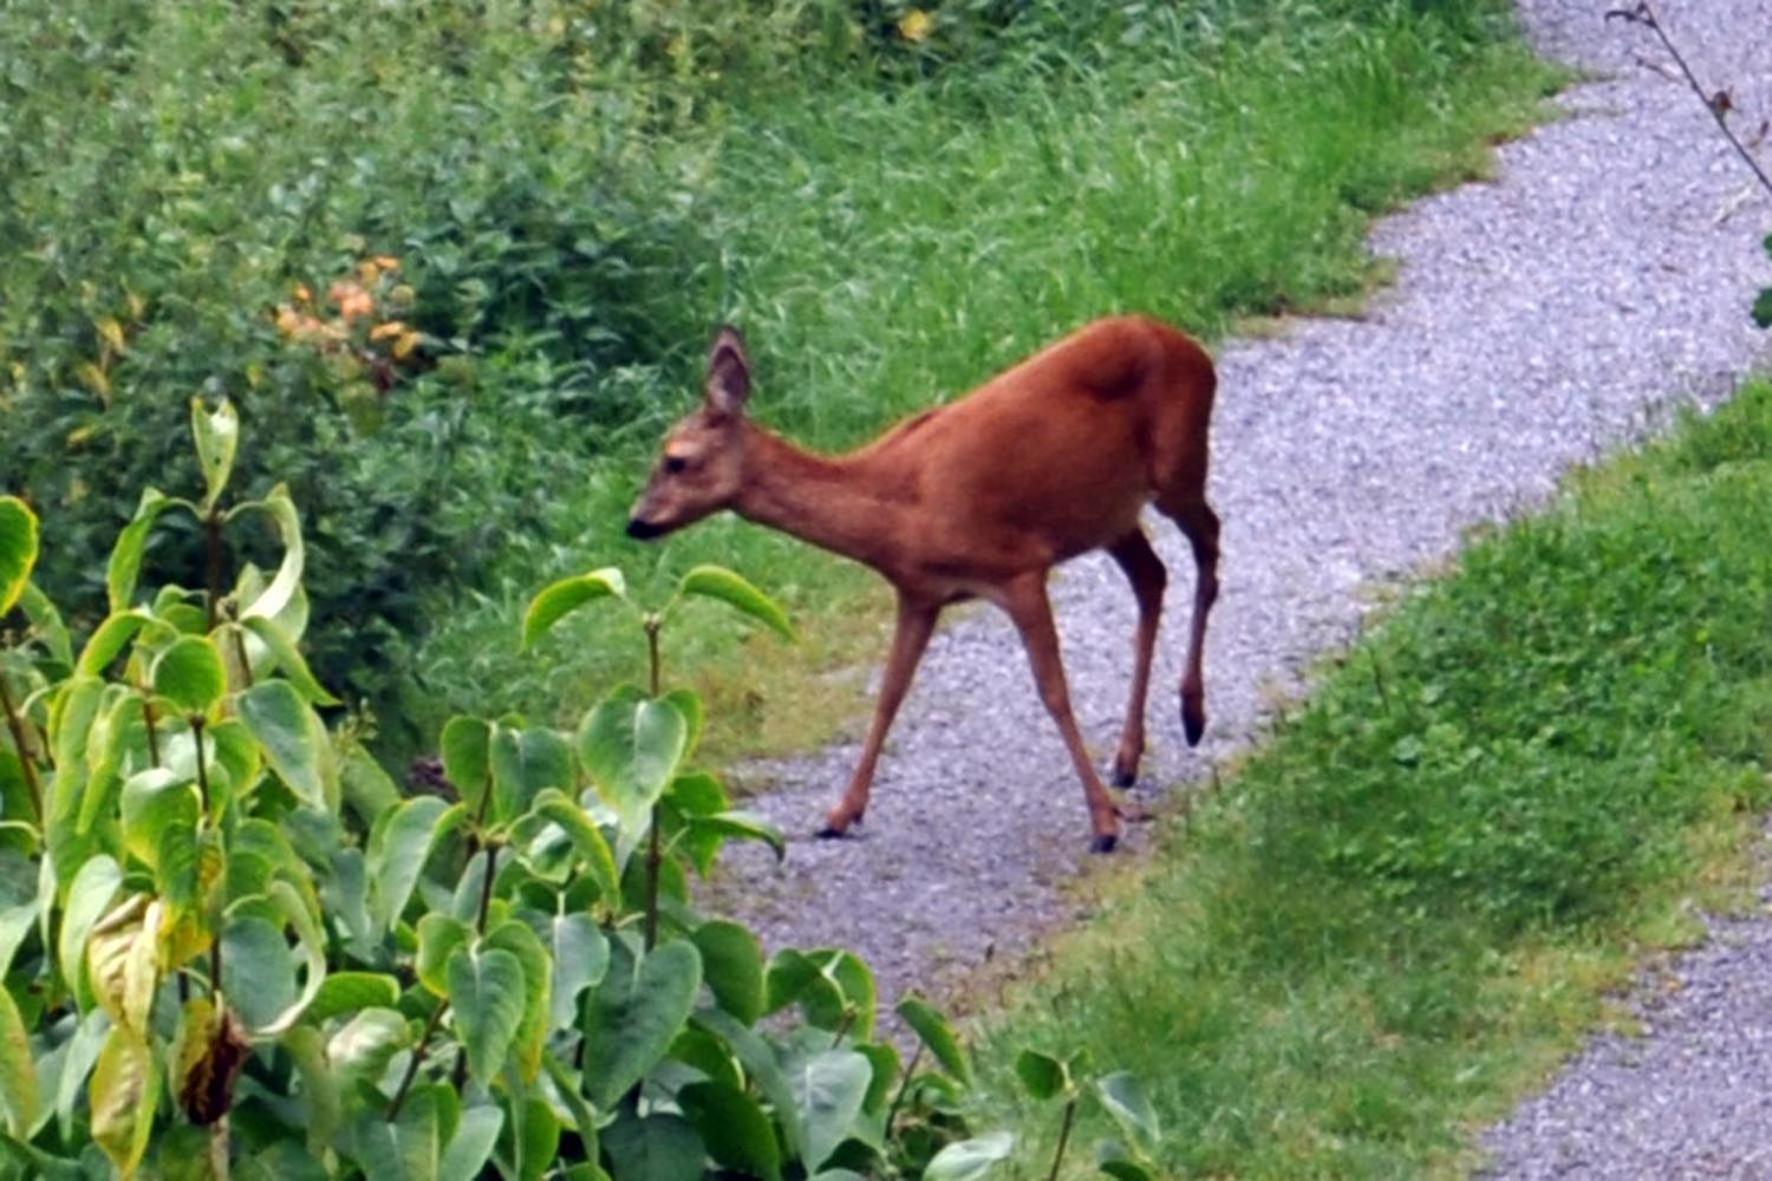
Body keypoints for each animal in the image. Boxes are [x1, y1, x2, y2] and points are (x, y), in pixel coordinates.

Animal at [630, 312, 1226, 847]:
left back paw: (1192, 712)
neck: (897, 509)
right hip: (1110, 515)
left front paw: (1103, 824)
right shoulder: (918, 593)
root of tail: (1192, 347)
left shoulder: (1018, 568)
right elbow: (890, 693)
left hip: (1178, 465)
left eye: (676, 460)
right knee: (1153, 576)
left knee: (1210, 542)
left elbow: (1054, 692)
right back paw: (1129, 756)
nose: (634, 523)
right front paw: (841, 813)